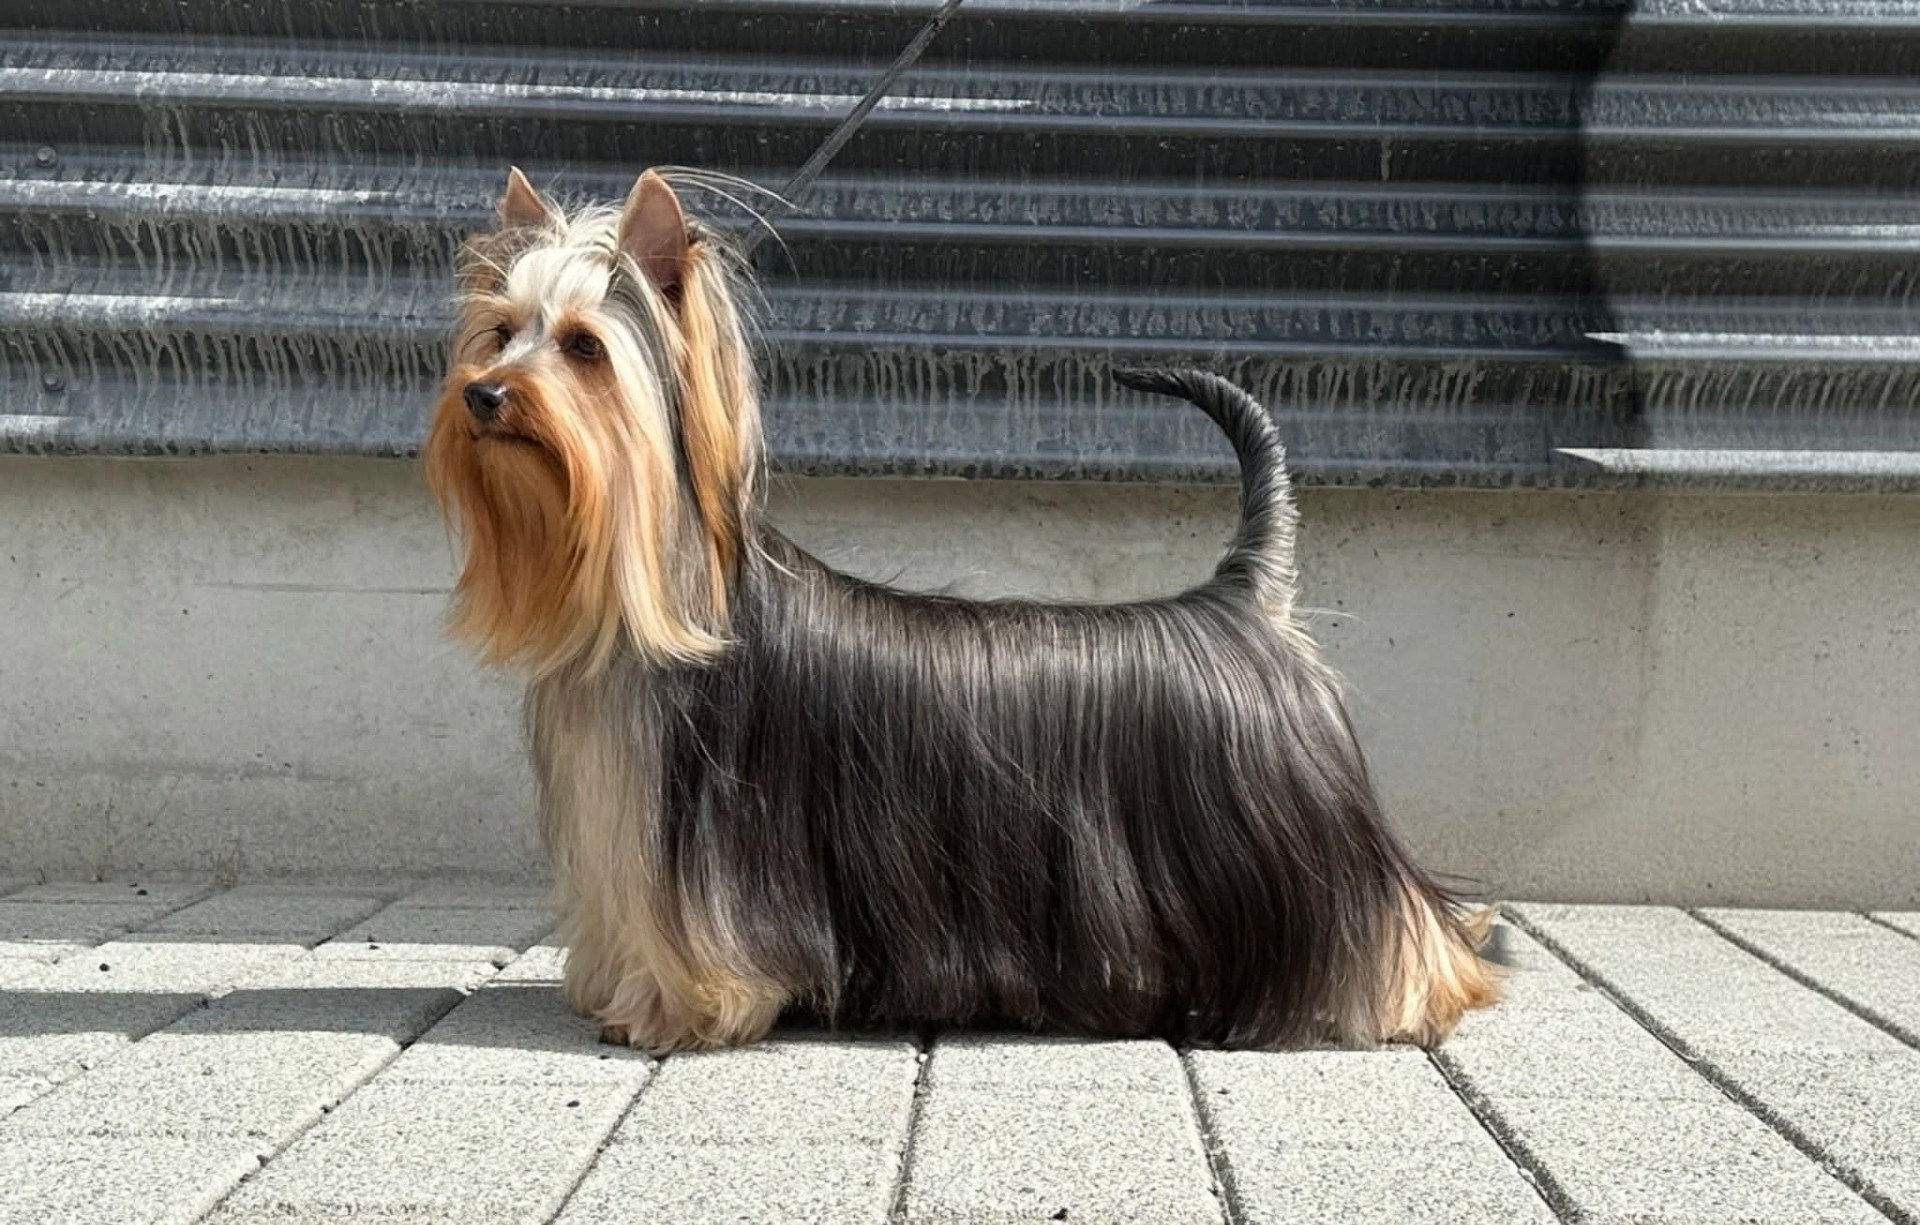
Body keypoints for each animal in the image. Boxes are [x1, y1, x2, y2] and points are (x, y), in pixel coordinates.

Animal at [424, 166, 1501, 1054]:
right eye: (499, 332)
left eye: (582, 348)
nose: (484, 394)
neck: (659, 590)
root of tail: (1245, 595)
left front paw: (668, 1012)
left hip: (1301, 847)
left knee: (1388, 921)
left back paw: (1419, 989)